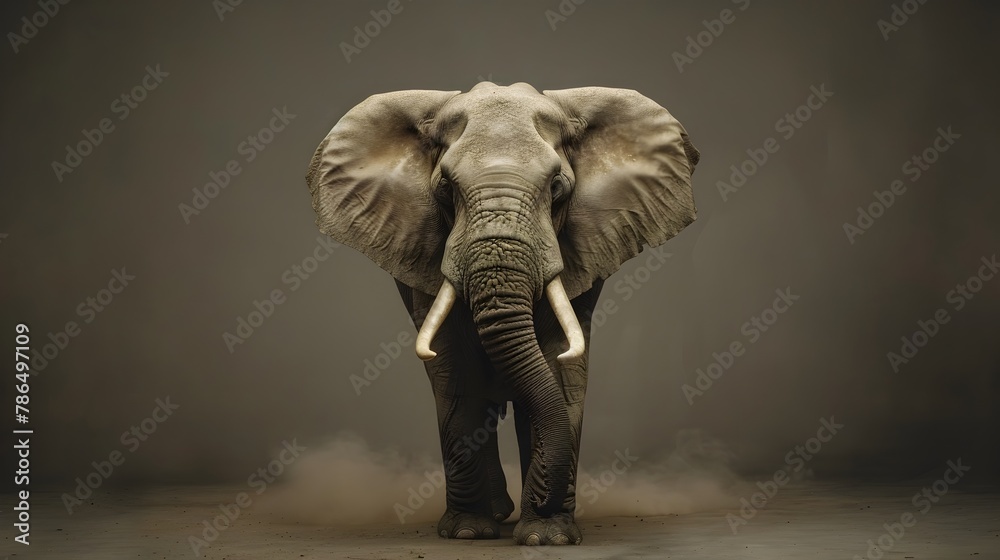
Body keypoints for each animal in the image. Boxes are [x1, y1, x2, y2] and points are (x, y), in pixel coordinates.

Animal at [305, 82, 699, 545]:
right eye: (445, 189)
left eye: (557, 188)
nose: (545, 501)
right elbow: (454, 370)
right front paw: (468, 534)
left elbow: (560, 365)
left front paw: (547, 537)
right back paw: (493, 515)